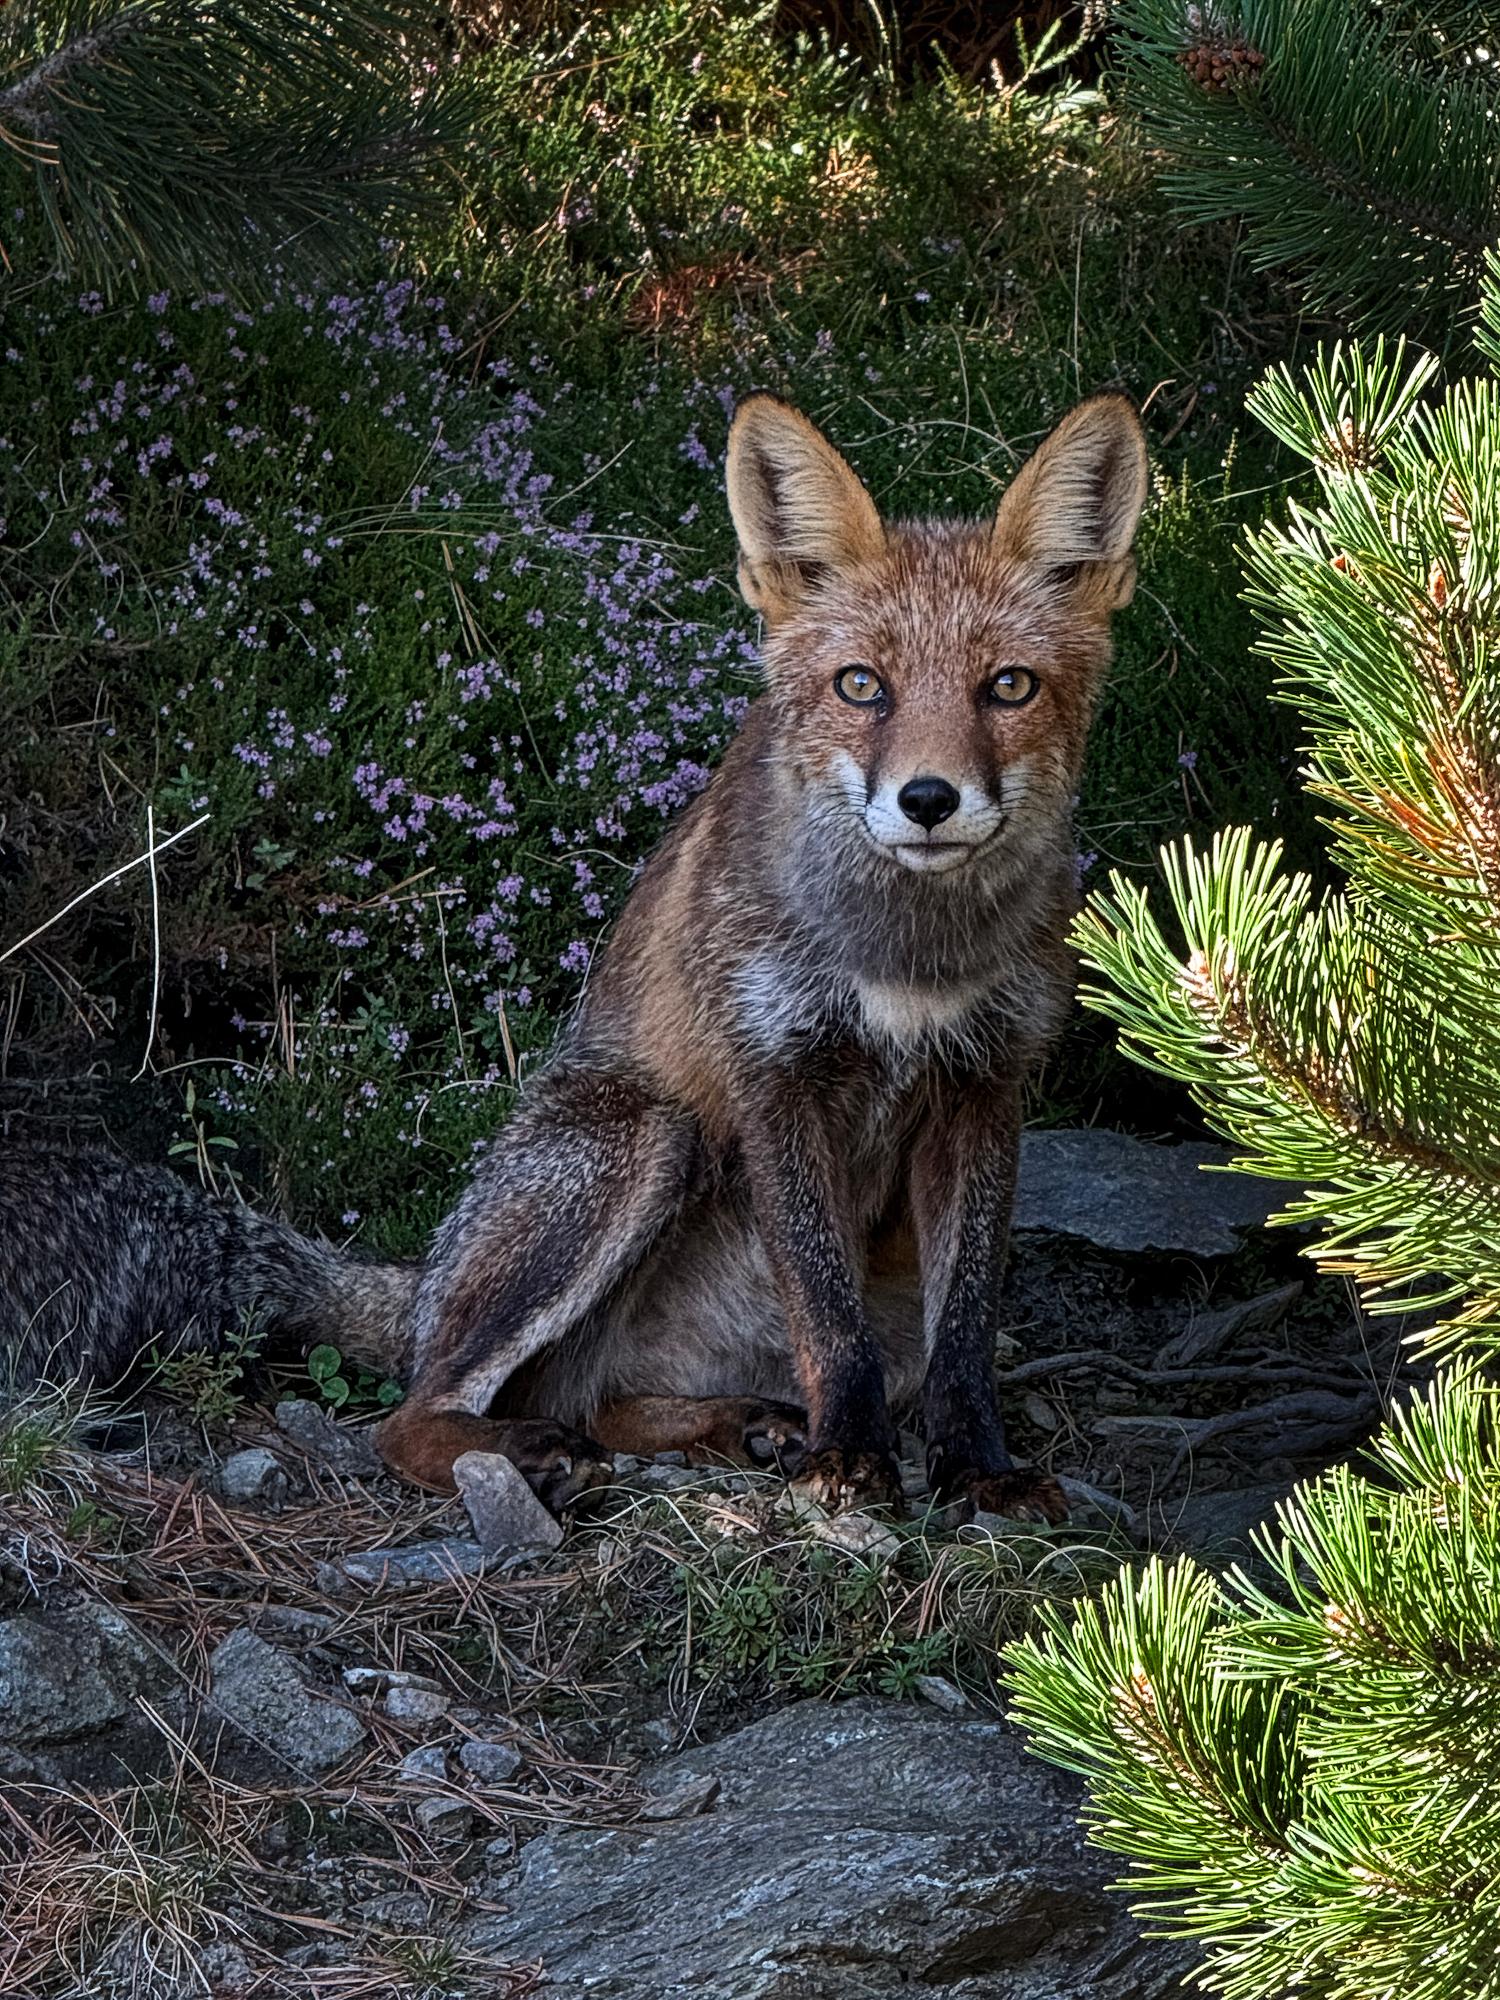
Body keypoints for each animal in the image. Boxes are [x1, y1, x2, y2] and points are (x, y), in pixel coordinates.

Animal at [1, 389, 1147, 1522]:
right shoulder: (776, 1073)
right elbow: (828, 1314)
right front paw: (849, 1463)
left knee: (598, 1398)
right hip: (638, 1138)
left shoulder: (986, 1085)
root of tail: (420, 1284)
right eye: (862, 685)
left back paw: (733, 1425)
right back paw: (535, 1452)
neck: (907, 961)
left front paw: (978, 1471)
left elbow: (968, 1334)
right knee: (412, 1414)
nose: (929, 799)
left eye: (1009, 686)